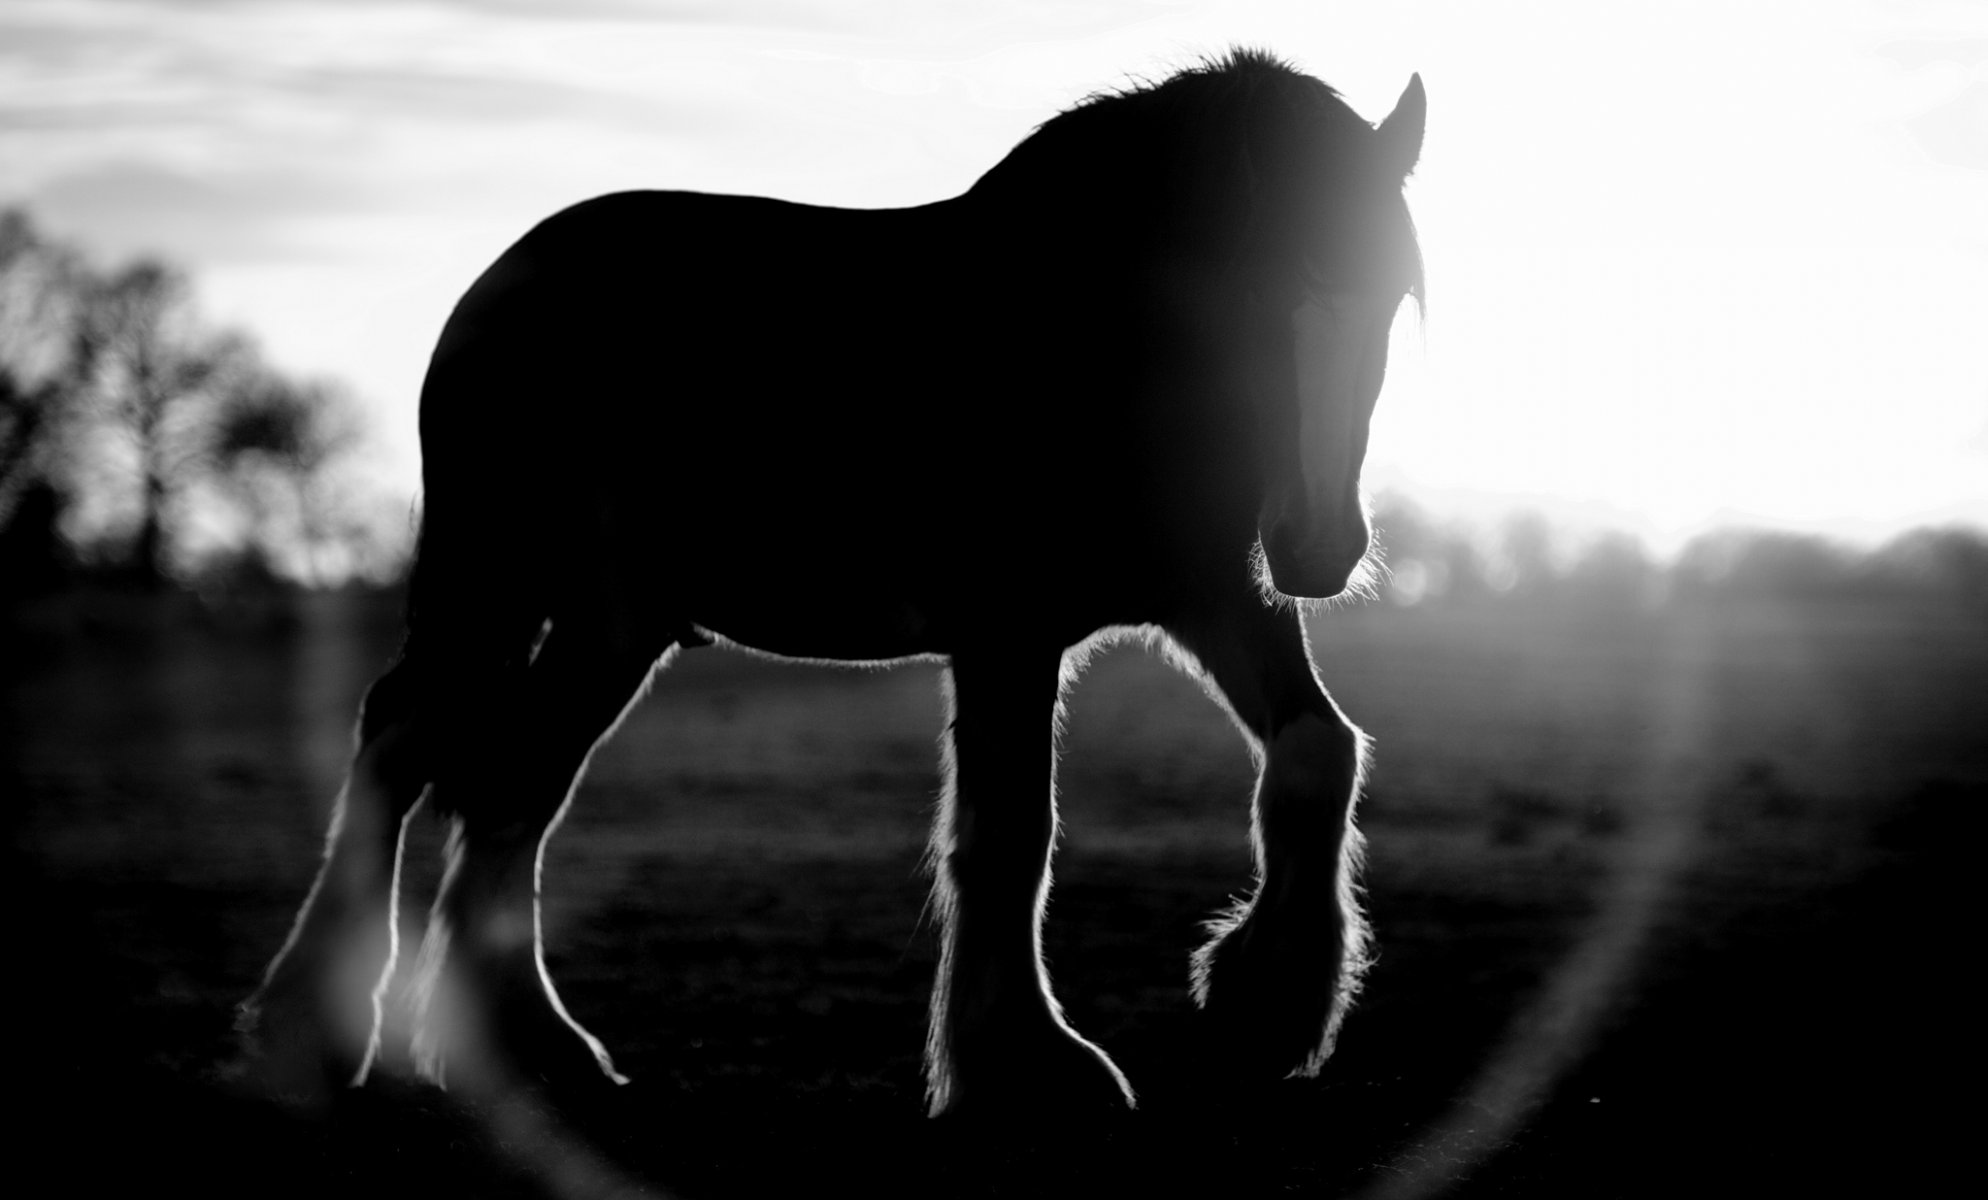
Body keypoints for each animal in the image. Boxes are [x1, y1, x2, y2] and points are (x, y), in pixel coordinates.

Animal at [240, 48, 1425, 1120]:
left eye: (1390, 297)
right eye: (1254, 293)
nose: (1319, 545)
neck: (1081, 338)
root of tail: (501, 280)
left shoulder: (1215, 597)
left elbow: (1318, 751)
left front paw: (1264, 1006)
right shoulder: (1008, 630)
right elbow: (1009, 833)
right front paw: (1024, 1064)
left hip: (610, 624)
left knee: (512, 793)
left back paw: (538, 1048)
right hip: (489, 579)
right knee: (399, 743)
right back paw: (317, 1032)